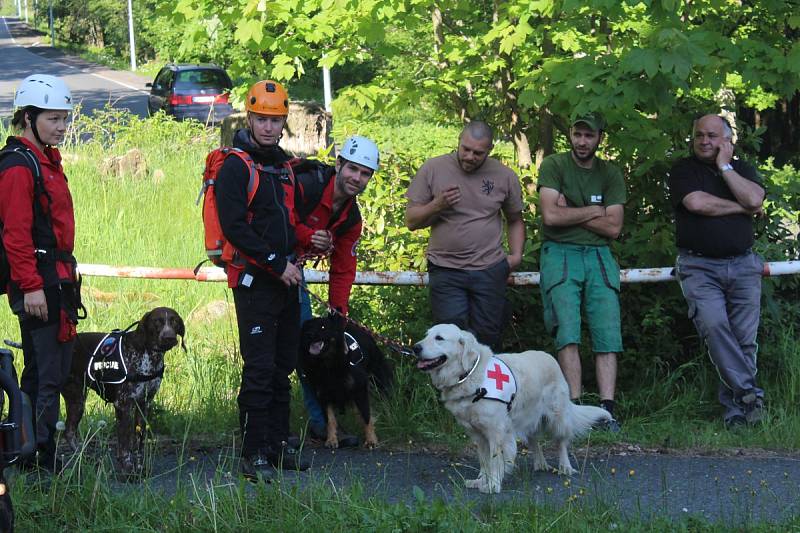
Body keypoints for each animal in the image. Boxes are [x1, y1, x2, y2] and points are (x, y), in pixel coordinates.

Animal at [63, 306, 186, 476]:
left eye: (174, 321)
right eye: (157, 321)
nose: (169, 337)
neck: (148, 356)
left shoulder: (143, 405)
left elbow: (139, 443)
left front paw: (139, 468)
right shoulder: (123, 405)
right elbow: (125, 444)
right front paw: (127, 469)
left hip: (76, 401)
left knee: (69, 431)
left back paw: (82, 457)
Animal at [300, 314, 394, 446]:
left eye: (323, 327)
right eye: (307, 328)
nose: (309, 334)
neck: (328, 364)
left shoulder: (360, 389)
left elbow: (367, 416)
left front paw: (371, 440)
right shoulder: (323, 395)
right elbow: (330, 420)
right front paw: (331, 439)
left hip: (378, 378)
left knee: (385, 399)